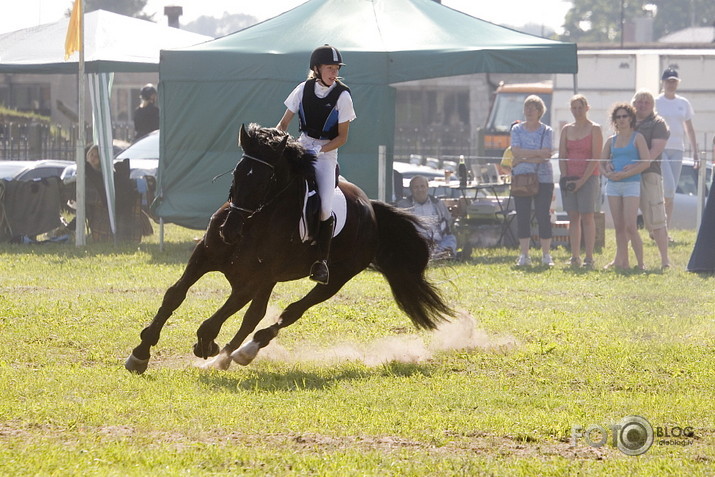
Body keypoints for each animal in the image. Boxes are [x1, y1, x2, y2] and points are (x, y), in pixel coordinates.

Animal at [125, 122, 454, 372]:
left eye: (265, 180)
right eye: (237, 172)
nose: (229, 231)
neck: (251, 222)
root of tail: (370, 207)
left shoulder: (255, 278)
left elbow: (216, 319)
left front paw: (206, 342)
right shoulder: (205, 257)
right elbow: (174, 295)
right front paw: (140, 352)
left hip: (336, 277)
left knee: (290, 311)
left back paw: (243, 352)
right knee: (254, 315)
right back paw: (228, 356)